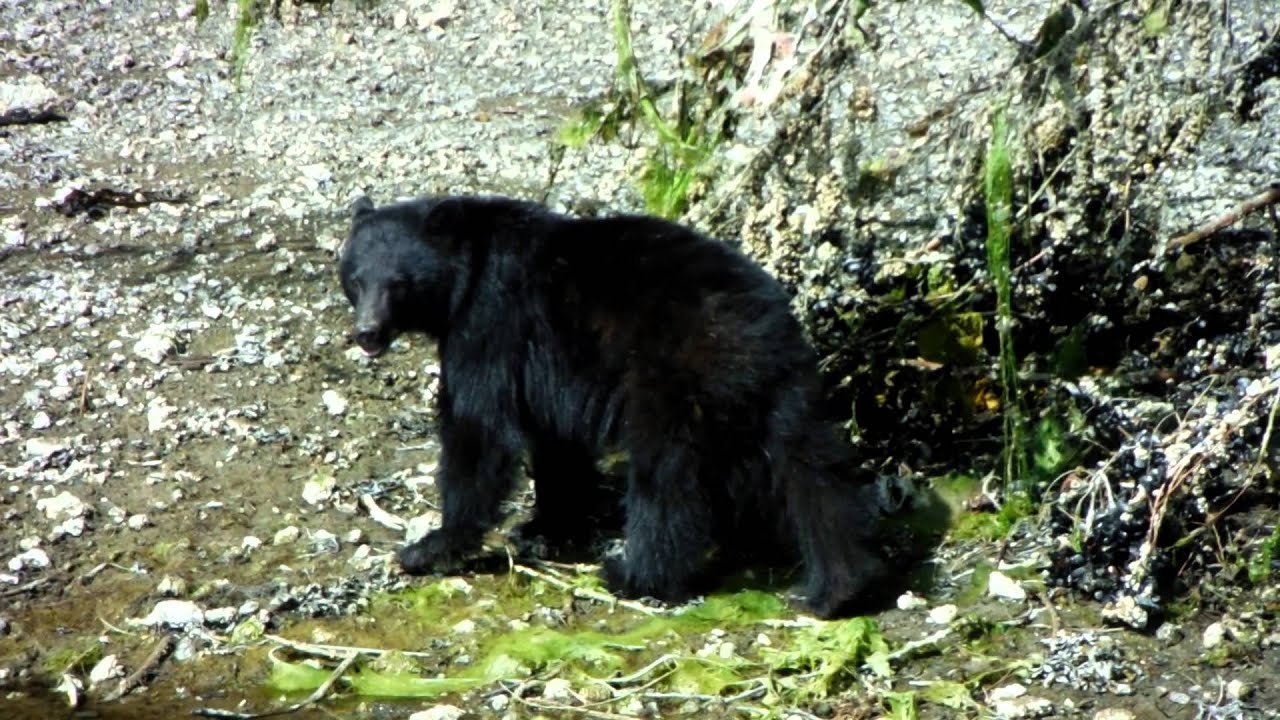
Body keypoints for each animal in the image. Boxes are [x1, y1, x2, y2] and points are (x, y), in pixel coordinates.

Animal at [335, 193, 885, 614]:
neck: (466, 273)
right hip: (786, 390)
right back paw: (839, 587)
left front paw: (431, 546)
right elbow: (556, 443)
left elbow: (480, 430)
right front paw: (547, 526)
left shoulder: (491, 323)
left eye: (398, 284)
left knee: (667, 483)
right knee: (812, 472)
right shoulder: (549, 369)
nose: (367, 334)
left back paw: (633, 573)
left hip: (674, 379)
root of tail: (752, 327)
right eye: (356, 279)